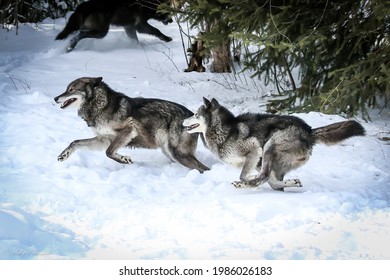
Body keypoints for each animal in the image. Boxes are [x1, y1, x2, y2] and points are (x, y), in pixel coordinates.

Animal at [54, 77, 210, 173]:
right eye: (67, 89)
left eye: (71, 90)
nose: (55, 98)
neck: (101, 105)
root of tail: (192, 115)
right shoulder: (103, 140)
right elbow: (76, 142)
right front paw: (64, 155)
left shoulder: (128, 129)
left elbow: (109, 152)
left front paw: (124, 159)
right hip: (171, 153)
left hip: (177, 153)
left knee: (204, 168)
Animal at [183, 97, 366, 191]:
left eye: (195, 114)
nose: (183, 120)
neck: (224, 130)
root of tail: (309, 130)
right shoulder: (255, 161)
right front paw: (251, 179)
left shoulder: (254, 150)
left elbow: (244, 175)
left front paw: (245, 181)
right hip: (270, 159)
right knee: (275, 184)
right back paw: (293, 182)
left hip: (269, 146)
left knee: (265, 177)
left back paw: (243, 185)